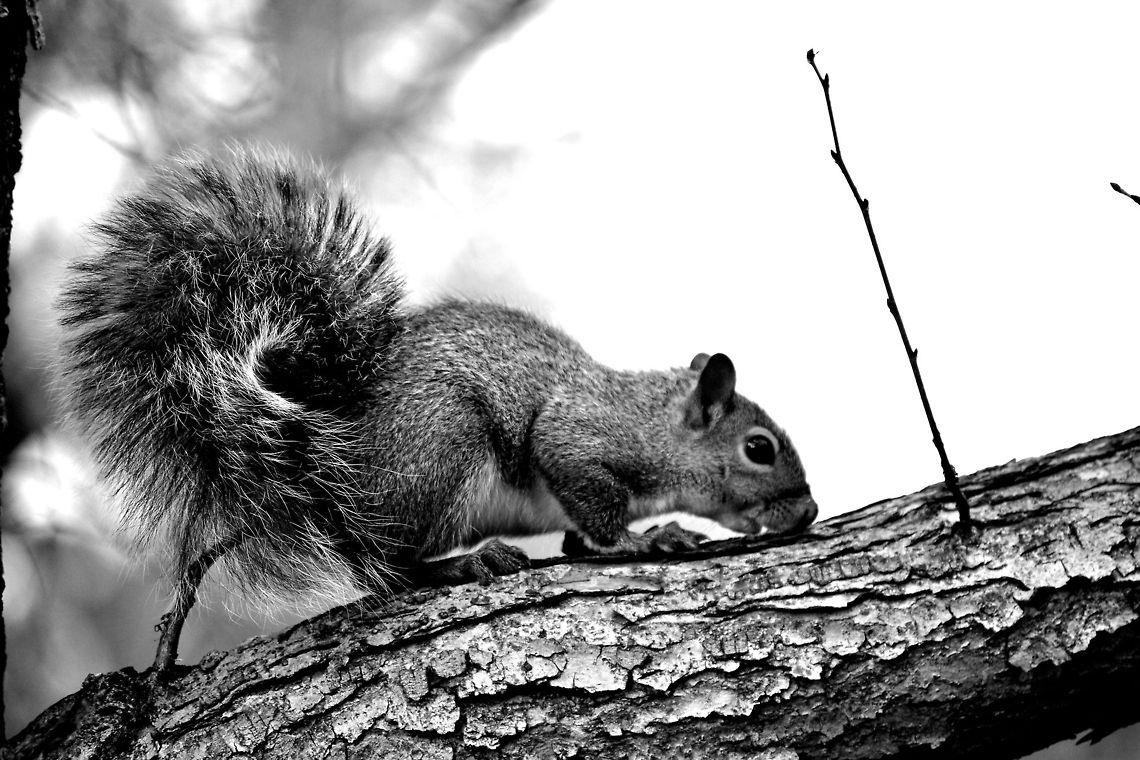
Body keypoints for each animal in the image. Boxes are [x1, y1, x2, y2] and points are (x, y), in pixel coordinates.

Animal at [57, 146, 818, 672]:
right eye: (758, 448)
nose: (808, 511)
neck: (651, 423)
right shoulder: (577, 436)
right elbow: (593, 505)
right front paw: (648, 538)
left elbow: (579, 534)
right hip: (442, 450)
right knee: (386, 566)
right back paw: (461, 564)